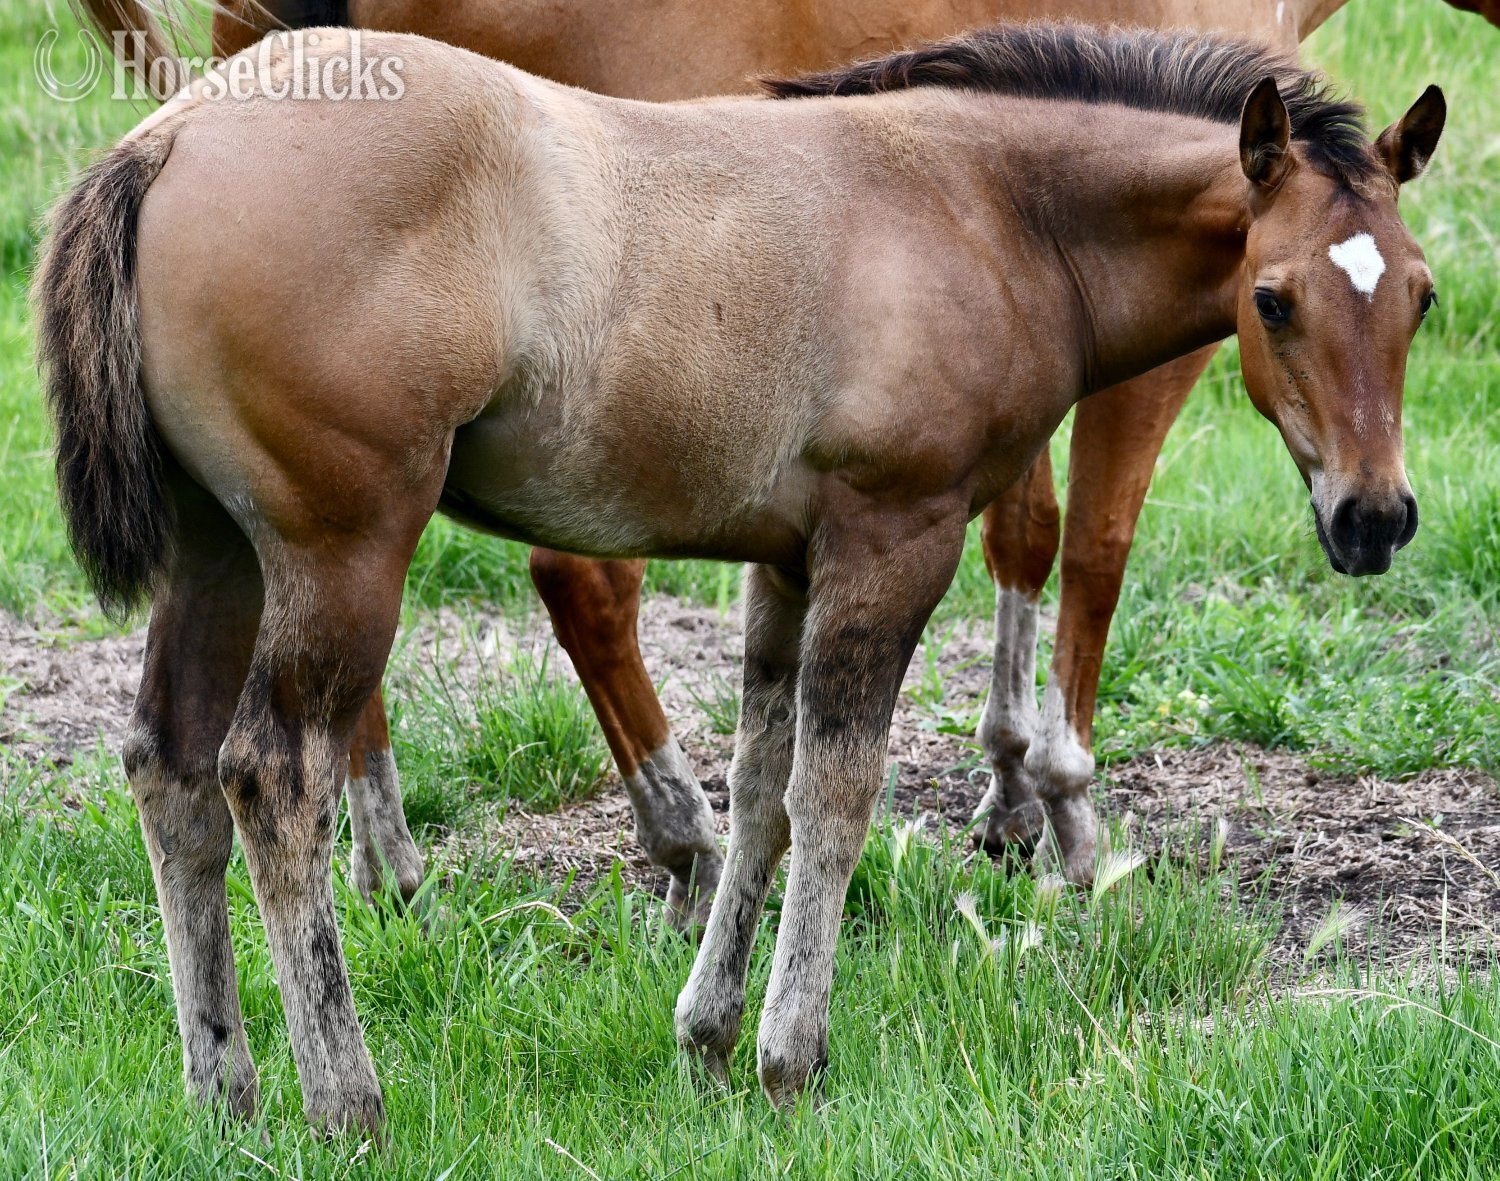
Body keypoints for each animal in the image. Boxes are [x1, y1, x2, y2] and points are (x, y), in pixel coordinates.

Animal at [35, 21, 1443, 1127]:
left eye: (1422, 298)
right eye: (1274, 298)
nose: (1374, 518)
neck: (982, 208)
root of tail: (169, 138)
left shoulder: (788, 558)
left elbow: (761, 788)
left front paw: (707, 1037)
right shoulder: (894, 536)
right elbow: (837, 793)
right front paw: (790, 1056)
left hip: (219, 552)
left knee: (170, 768)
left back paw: (225, 1093)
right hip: (344, 549)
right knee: (271, 774)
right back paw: (346, 1099)